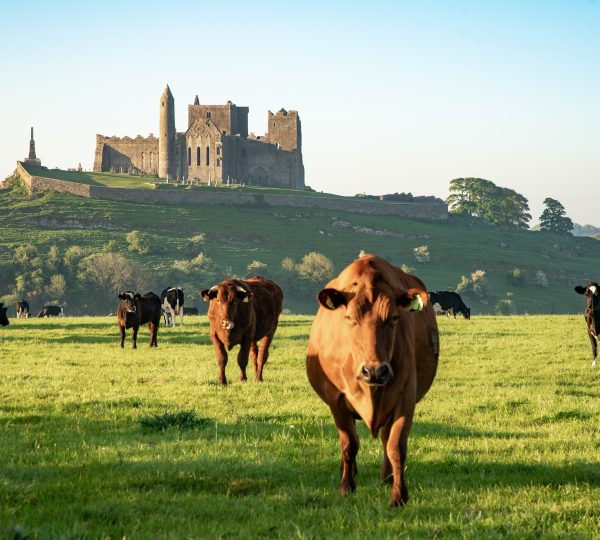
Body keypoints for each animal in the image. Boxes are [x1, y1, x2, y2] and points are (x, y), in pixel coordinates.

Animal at [308, 253, 438, 506]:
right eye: (349, 318)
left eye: (394, 318)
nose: (375, 371)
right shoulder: (337, 400)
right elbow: (349, 445)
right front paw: (346, 487)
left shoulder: (405, 397)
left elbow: (396, 446)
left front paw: (398, 495)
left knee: (386, 440)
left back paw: (386, 478)